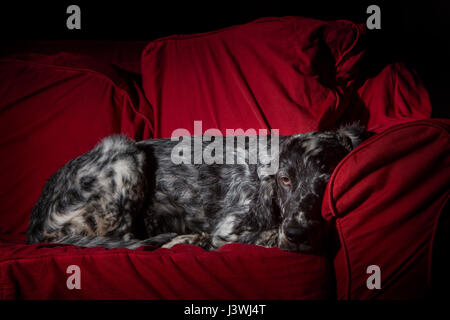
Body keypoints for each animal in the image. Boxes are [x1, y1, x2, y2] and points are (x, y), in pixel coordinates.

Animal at [25, 124, 372, 254]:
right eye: (284, 180)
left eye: (326, 180)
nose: (298, 234)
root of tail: (35, 227)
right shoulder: (229, 230)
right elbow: (269, 233)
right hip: (125, 154)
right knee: (127, 240)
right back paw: (187, 239)